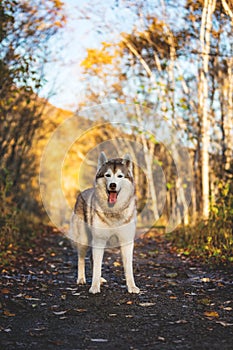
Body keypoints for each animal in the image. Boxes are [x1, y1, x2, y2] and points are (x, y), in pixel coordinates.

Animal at [68, 152, 139, 294]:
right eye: (107, 175)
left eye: (120, 176)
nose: (112, 185)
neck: (113, 211)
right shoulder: (99, 240)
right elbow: (96, 266)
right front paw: (94, 287)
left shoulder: (126, 241)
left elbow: (128, 268)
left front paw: (132, 287)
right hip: (84, 240)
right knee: (81, 258)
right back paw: (81, 279)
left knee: (92, 259)